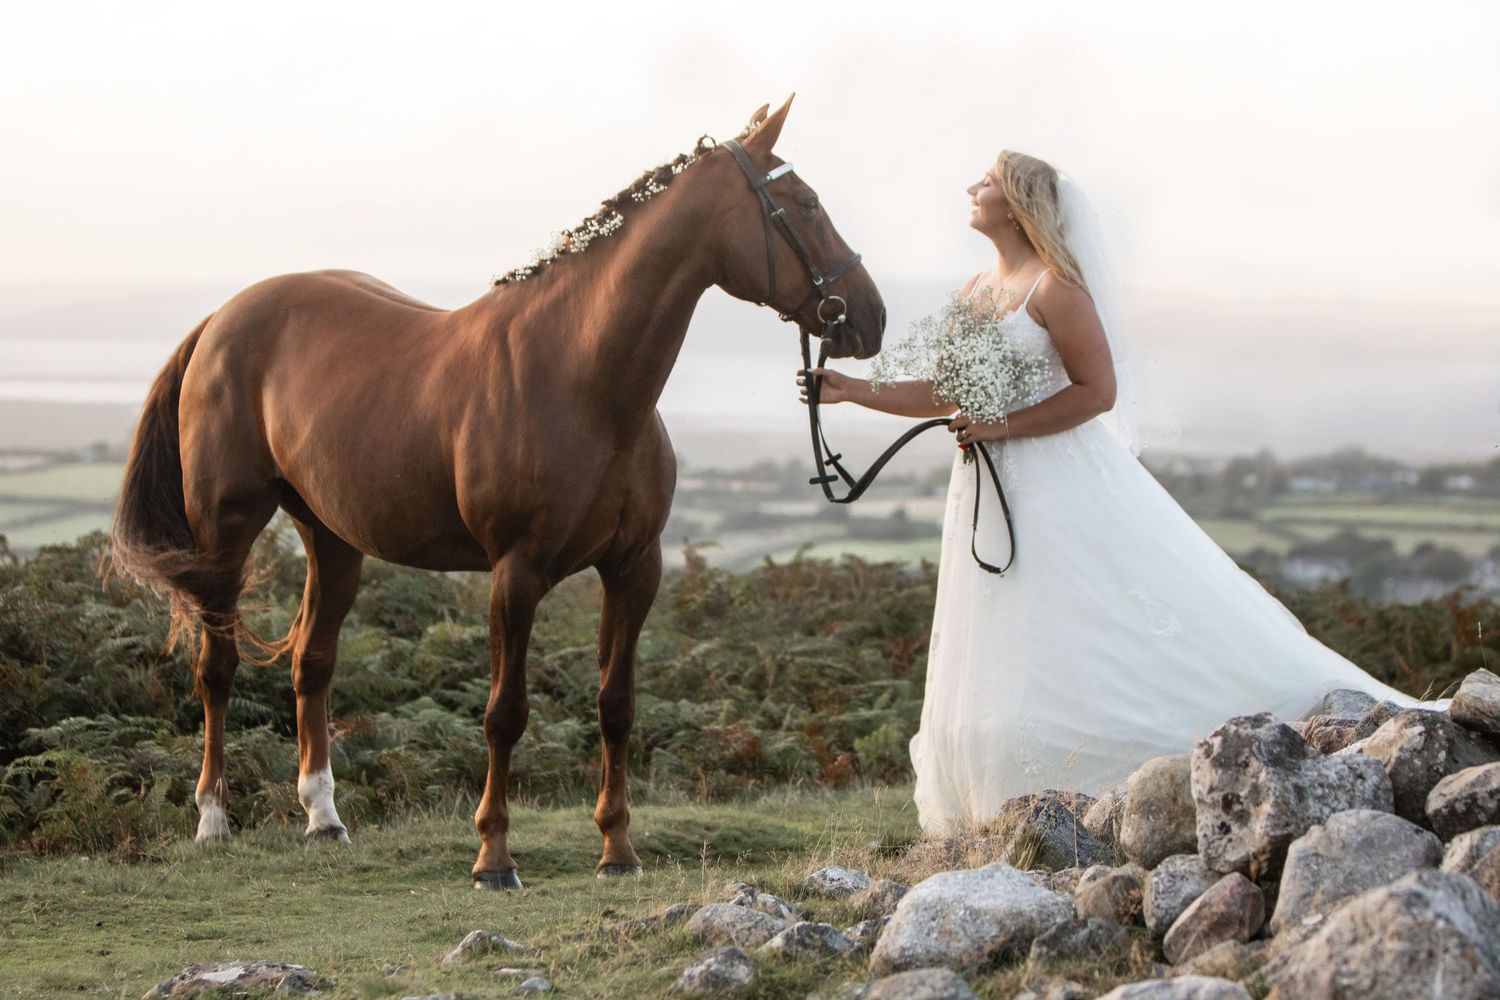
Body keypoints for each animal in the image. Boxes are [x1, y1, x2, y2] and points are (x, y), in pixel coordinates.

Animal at [109, 95, 885, 889]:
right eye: (806, 203)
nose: (869, 316)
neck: (584, 383)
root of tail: (221, 319)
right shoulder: (516, 573)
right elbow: (504, 712)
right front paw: (493, 857)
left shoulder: (635, 568)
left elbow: (616, 705)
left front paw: (617, 850)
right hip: (225, 531)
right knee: (217, 667)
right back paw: (213, 820)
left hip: (332, 538)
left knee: (311, 664)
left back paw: (323, 818)